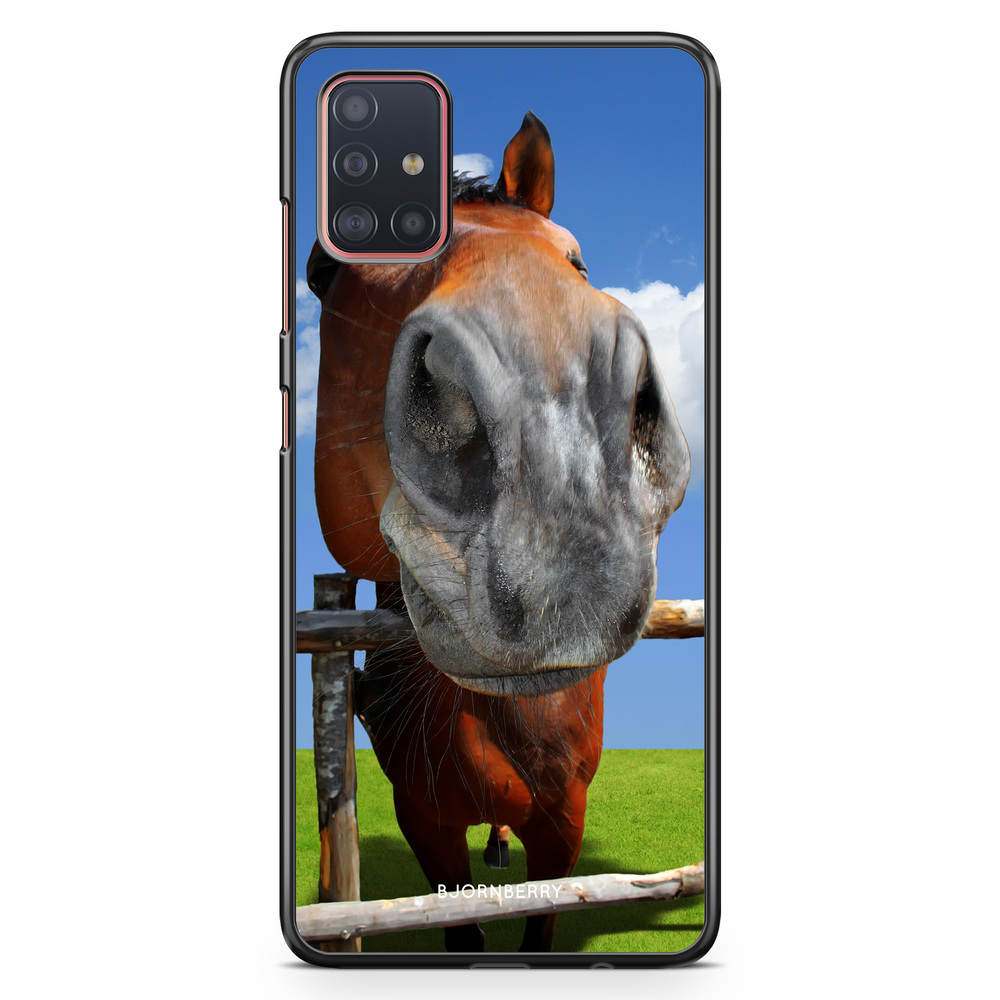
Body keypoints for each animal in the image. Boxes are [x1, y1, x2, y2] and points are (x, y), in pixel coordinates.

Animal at [306, 112, 690, 952]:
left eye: (577, 260)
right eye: (323, 274)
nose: (557, 454)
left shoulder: (564, 826)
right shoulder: (425, 827)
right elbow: (465, 930)